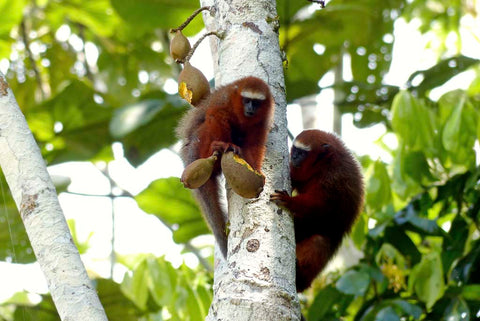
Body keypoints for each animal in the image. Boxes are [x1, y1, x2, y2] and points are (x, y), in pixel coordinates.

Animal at [176, 75, 274, 258]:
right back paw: (217, 148)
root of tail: (187, 158)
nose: (250, 108)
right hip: (196, 148)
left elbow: (255, 143)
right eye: (247, 100)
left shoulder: (263, 120)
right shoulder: (224, 100)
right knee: (210, 120)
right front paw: (223, 144)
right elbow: (215, 115)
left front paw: (255, 169)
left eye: (256, 103)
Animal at [270, 129, 364, 292]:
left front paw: (289, 201)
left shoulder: (336, 177)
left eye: (301, 153)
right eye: (295, 150)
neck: (324, 164)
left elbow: (322, 206)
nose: (293, 157)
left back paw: (301, 278)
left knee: (320, 240)